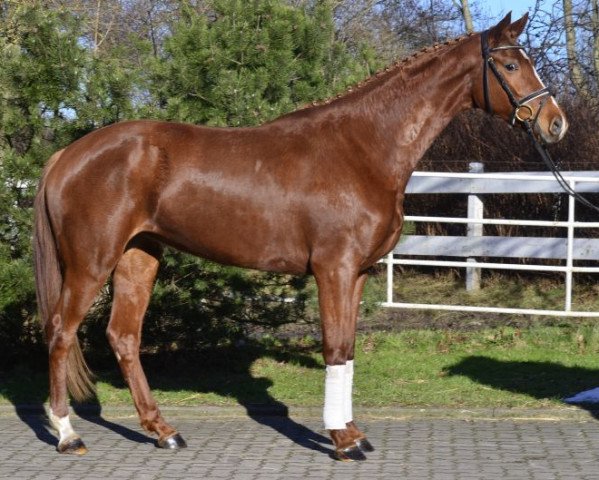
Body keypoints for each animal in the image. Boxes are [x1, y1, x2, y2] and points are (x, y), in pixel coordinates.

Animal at [32, 13, 568, 460]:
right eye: (509, 64)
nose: (555, 123)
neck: (362, 148)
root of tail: (66, 155)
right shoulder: (333, 269)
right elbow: (332, 348)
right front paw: (342, 441)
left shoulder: (358, 273)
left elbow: (347, 349)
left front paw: (351, 433)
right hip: (91, 261)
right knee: (60, 330)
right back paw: (67, 433)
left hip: (138, 256)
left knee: (123, 336)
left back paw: (163, 431)